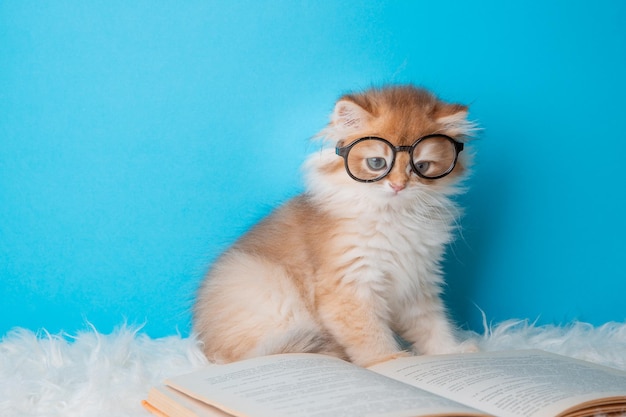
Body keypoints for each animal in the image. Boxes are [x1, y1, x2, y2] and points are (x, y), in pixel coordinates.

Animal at [193, 86, 476, 366]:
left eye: (422, 166)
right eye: (377, 163)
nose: (398, 186)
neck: (394, 217)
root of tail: (208, 351)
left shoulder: (417, 282)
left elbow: (432, 326)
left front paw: (452, 351)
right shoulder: (351, 287)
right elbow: (370, 335)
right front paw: (390, 361)